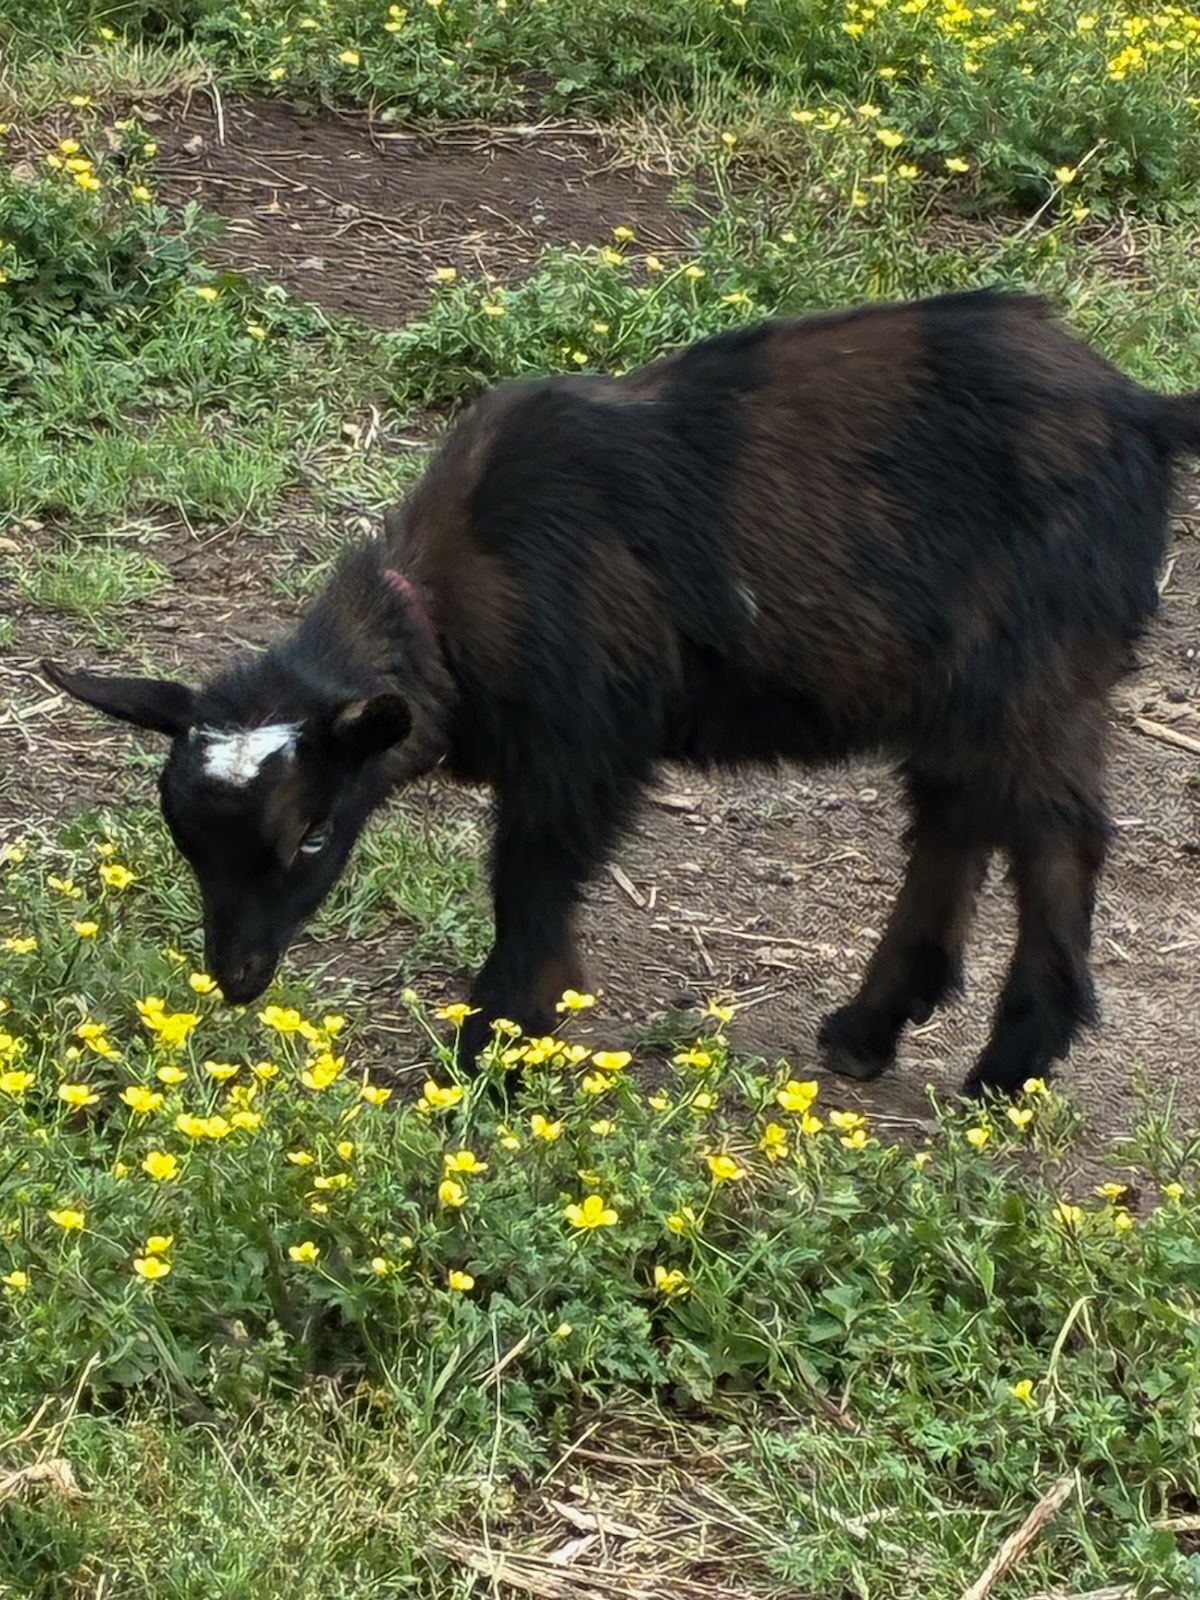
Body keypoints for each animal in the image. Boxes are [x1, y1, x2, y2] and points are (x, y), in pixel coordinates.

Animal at [44, 289, 1200, 1095]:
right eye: (186, 841)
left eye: (315, 834)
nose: (238, 977)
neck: (455, 596)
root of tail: (1146, 412)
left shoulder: (581, 745)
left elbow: (531, 886)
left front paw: (493, 1052)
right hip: (962, 685)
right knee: (956, 818)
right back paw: (870, 1028)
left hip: (1037, 666)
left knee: (1054, 834)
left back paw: (1011, 1064)